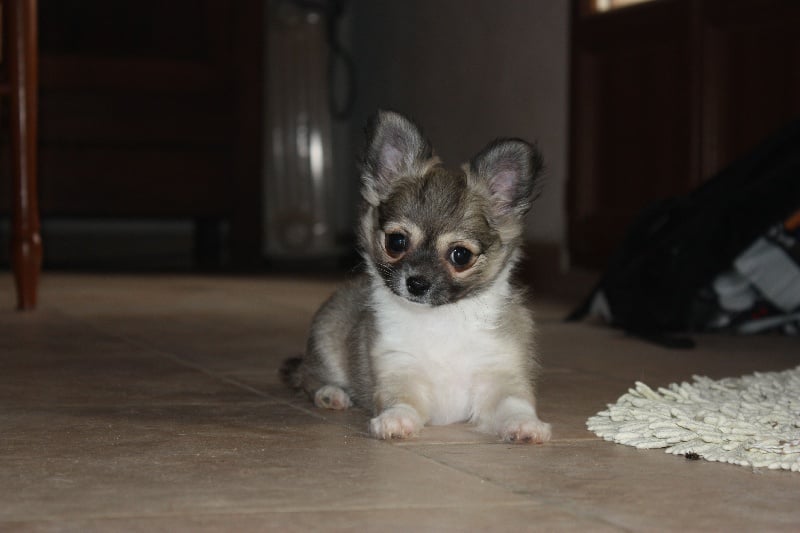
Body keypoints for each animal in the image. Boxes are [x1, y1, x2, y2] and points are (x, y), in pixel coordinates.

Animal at [284, 110, 552, 442]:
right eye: (397, 242)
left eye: (460, 256)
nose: (417, 283)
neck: (440, 319)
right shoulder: (398, 367)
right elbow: (401, 400)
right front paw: (395, 420)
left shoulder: (500, 372)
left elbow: (514, 403)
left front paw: (525, 424)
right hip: (327, 342)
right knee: (308, 377)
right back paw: (331, 393)